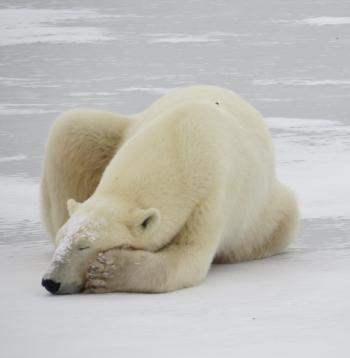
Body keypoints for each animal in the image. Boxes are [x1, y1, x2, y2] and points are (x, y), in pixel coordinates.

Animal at [40, 85, 298, 296]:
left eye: (85, 246)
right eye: (63, 239)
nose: (51, 282)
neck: (181, 138)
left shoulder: (211, 197)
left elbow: (186, 259)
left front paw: (107, 271)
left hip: (264, 216)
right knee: (71, 127)